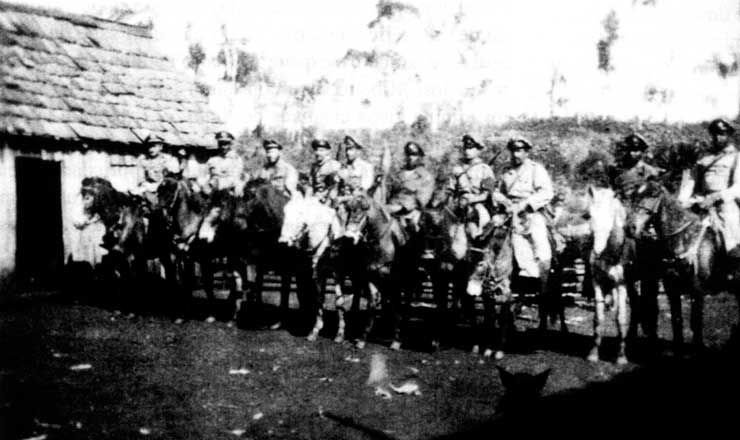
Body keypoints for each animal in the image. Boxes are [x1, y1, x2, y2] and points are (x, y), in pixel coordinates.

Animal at [584, 186, 632, 364]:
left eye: (611, 215)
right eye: (589, 215)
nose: (597, 251)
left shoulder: (622, 284)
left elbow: (621, 319)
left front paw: (621, 356)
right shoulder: (597, 281)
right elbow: (598, 318)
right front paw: (593, 353)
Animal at [632, 180, 740, 354]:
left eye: (653, 195)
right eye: (635, 195)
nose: (632, 227)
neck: (684, 239)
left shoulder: (697, 290)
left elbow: (696, 322)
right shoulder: (672, 290)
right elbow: (677, 320)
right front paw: (678, 350)